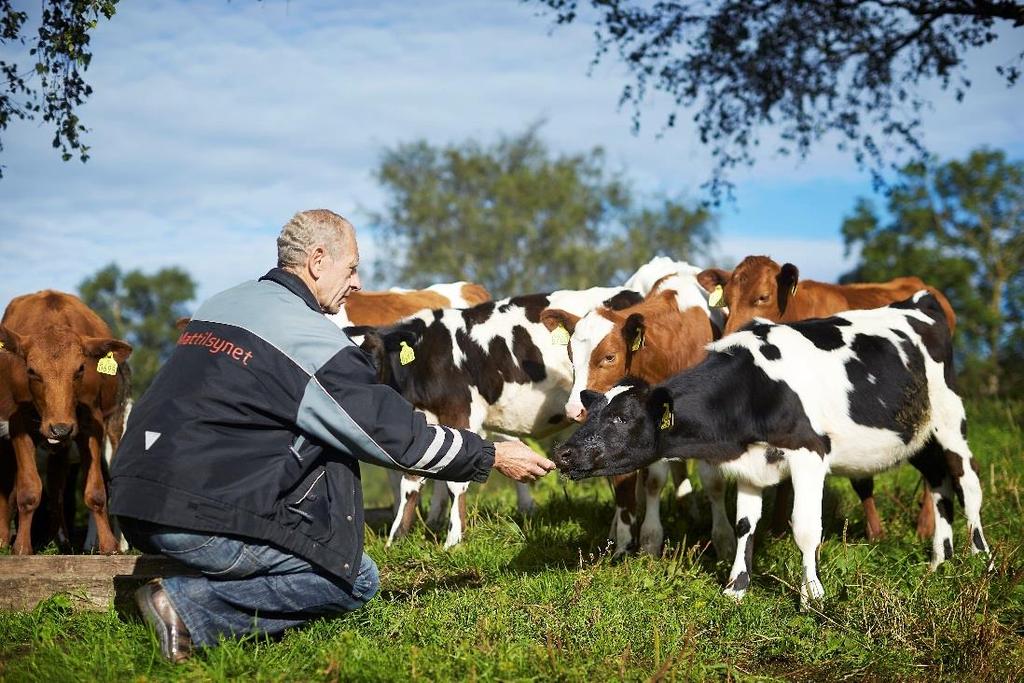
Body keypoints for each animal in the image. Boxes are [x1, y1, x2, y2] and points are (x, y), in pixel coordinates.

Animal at [0, 290, 132, 557]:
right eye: (31, 370)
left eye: (80, 368)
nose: (60, 428)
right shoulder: (17, 424)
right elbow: (28, 489)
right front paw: (21, 547)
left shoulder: (91, 422)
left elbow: (96, 491)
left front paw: (109, 546)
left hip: (113, 427)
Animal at [352, 286, 638, 548]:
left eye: (373, 352)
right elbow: (411, 479)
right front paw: (396, 539)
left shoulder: (460, 411)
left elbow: (454, 482)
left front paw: (453, 542)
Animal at [540, 270, 733, 557]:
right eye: (571, 356)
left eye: (609, 356)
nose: (574, 410)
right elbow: (651, 480)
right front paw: (648, 539)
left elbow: (714, 482)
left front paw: (724, 540)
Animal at [557, 290, 987, 606]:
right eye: (594, 411)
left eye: (621, 418)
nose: (563, 453)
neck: (755, 386)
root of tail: (917, 302)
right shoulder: (750, 462)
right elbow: (746, 525)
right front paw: (736, 586)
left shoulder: (810, 453)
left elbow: (806, 528)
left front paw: (812, 596)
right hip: (918, 436)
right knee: (939, 482)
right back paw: (939, 560)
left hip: (950, 419)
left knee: (967, 483)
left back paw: (980, 558)